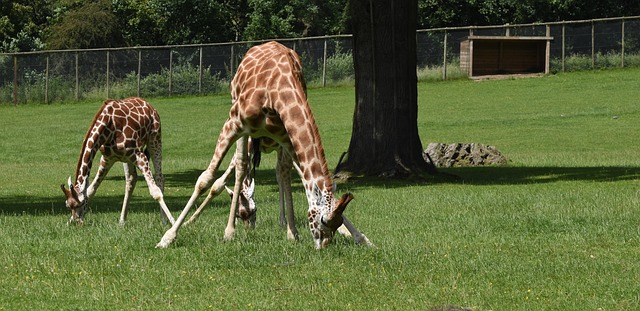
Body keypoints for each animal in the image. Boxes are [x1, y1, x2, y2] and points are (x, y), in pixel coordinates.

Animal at [60, 96, 175, 225]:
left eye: (81, 203)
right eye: (67, 205)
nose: (77, 222)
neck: (107, 128)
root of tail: (149, 105)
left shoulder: (139, 156)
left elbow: (155, 192)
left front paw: (174, 223)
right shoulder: (107, 159)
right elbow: (91, 189)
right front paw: (68, 222)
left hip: (155, 139)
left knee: (159, 178)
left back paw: (164, 220)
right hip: (127, 158)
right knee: (131, 179)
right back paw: (121, 221)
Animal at [156, 41, 372, 250]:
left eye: (336, 223)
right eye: (323, 221)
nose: (324, 245)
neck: (276, 92)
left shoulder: (286, 137)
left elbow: (296, 175)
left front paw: (359, 237)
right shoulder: (233, 123)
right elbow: (206, 180)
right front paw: (168, 237)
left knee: (281, 171)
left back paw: (289, 229)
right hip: (241, 123)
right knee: (241, 166)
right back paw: (228, 231)